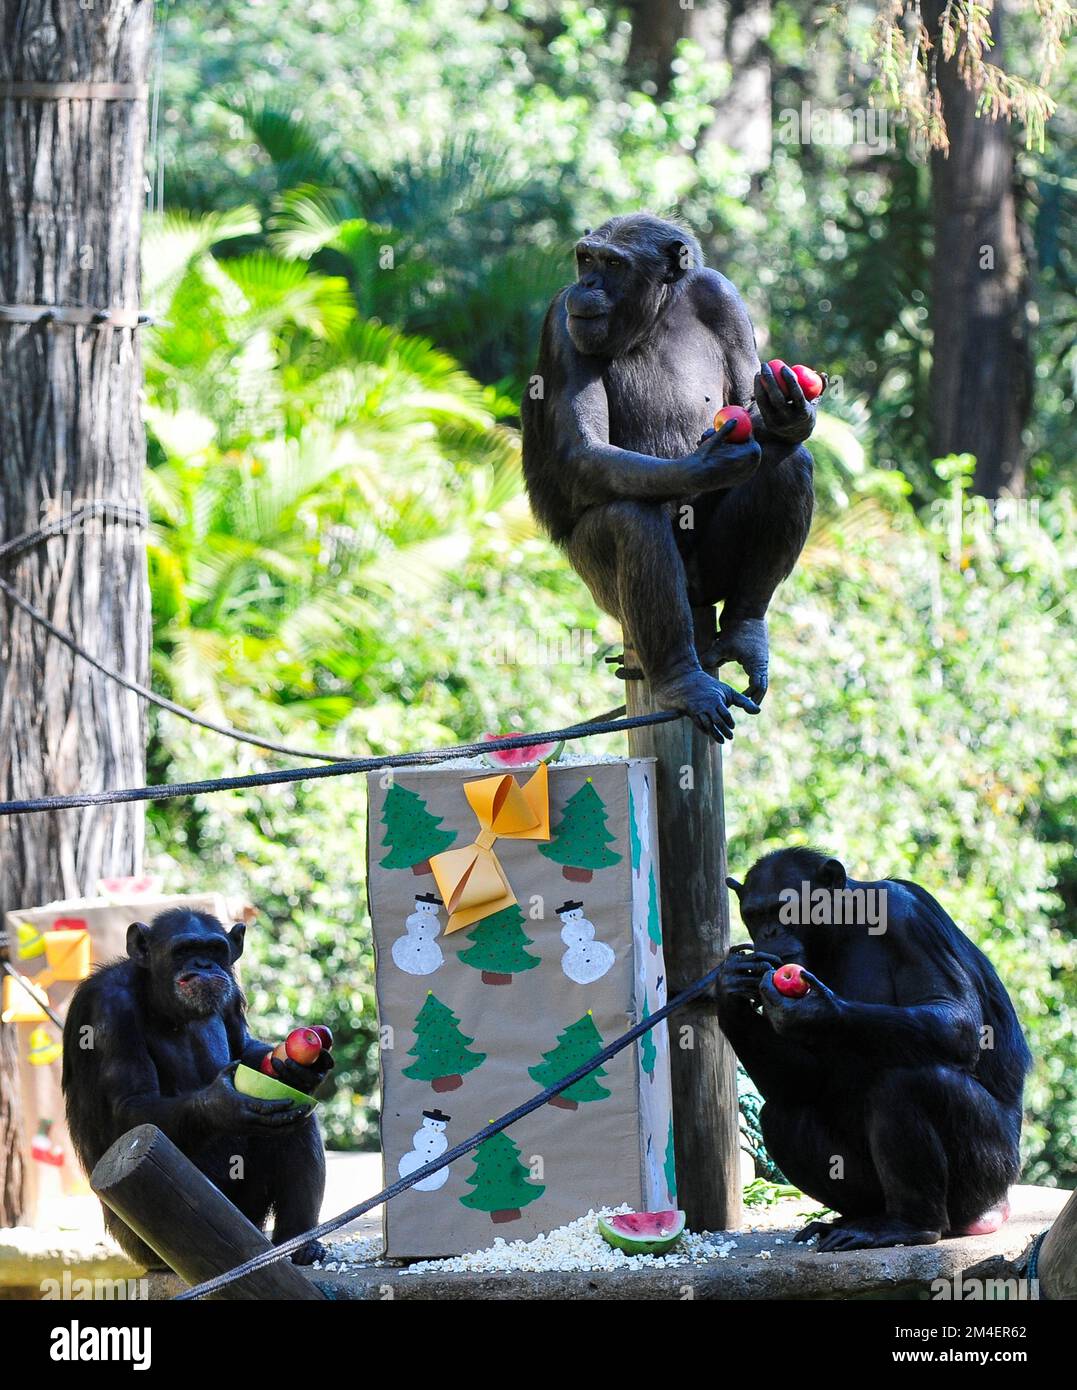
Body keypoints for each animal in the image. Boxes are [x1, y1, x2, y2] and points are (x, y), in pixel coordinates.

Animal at [63, 911, 332, 1273]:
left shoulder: (231, 994)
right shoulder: (108, 1008)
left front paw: (298, 1070)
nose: (203, 964)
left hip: (250, 1216)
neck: (161, 1001)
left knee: (298, 1123)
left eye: (214, 949)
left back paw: (298, 1243)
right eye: (185, 950)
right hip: (145, 1245)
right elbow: (131, 1104)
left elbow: (244, 1047)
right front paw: (220, 1105)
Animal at [525, 211, 817, 745]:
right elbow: (583, 448)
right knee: (631, 519)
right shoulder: (562, 322)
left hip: (713, 577)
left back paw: (745, 632)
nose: (587, 285)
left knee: (791, 466)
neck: (654, 315)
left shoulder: (722, 297)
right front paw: (707, 464)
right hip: (601, 588)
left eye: (613, 264)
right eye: (586, 258)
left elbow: (751, 400)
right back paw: (683, 680)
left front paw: (789, 414)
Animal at [711, 850, 1033, 1256]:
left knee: (910, 1082)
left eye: (784, 909)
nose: (768, 933)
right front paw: (730, 989)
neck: (839, 933)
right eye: (754, 915)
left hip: (991, 1174)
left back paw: (909, 1225)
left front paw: (818, 1010)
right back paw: (854, 1219)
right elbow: (804, 1080)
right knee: (782, 1113)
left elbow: (957, 1018)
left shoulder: (908, 920)